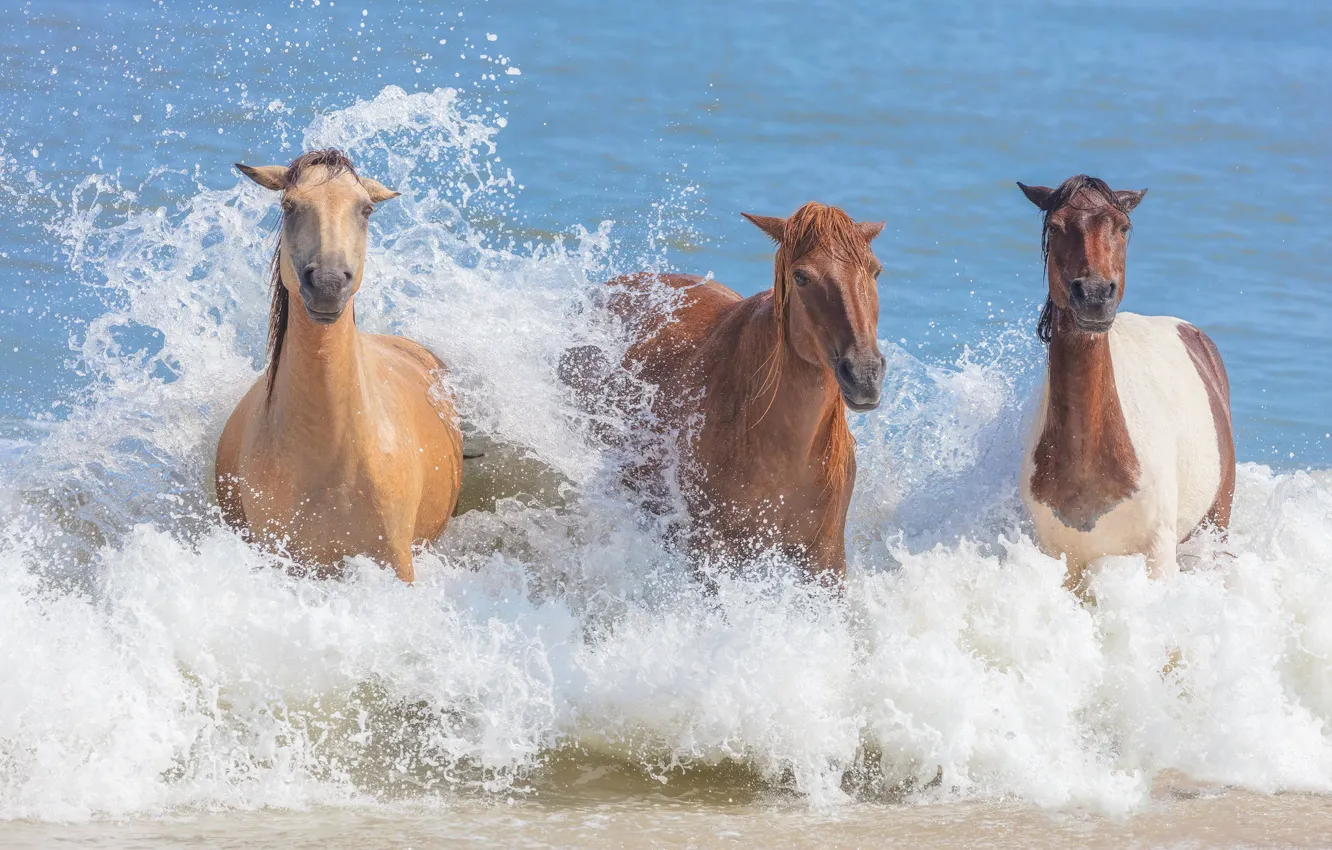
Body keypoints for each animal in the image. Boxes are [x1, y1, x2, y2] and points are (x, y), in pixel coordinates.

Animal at [1016, 175, 1235, 589]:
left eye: (1122, 227)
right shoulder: (1063, 559)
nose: (1094, 295)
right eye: (1055, 227)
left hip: (1215, 528)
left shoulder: (1159, 554)